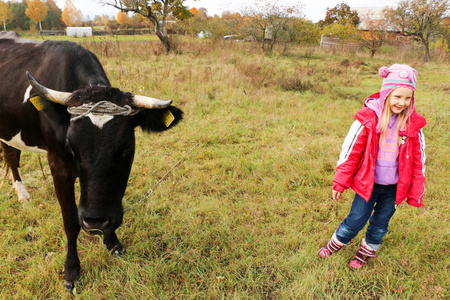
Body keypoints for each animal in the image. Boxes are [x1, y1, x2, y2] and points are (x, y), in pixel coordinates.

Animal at [0, 32, 183, 292]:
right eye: (72, 147)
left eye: (126, 149)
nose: (95, 220)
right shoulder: (58, 164)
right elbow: (70, 221)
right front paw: (71, 270)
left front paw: (112, 242)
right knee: (11, 156)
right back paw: (23, 195)